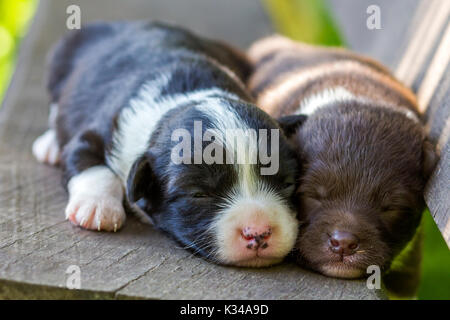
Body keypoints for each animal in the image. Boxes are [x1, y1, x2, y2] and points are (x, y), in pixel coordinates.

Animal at [32, 21, 306, 268]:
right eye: (198, 194)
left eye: (287, 184)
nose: (258, 233)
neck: (190, 95)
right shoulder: (97, 132)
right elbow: (88, 160)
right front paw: (97, 207)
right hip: (60, 57)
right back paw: (50, 145)